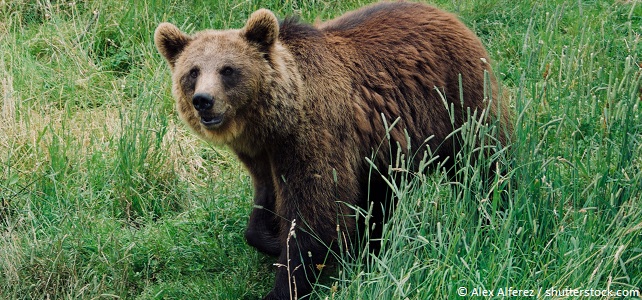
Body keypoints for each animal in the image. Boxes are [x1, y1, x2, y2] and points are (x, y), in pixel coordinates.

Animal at [155, 1, 510, 298]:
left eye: (228, 70)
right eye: (192, 72)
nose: (203, 100)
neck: (273, 122)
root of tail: (448, 16)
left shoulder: (313, 137)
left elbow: (315, 215)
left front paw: (285, 283)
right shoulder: (262, 155)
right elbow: (266, 201)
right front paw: (270, 237)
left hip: (458, 101)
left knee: (484, 163)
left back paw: (493, 212)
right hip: (386, 146)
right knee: (382, 195)